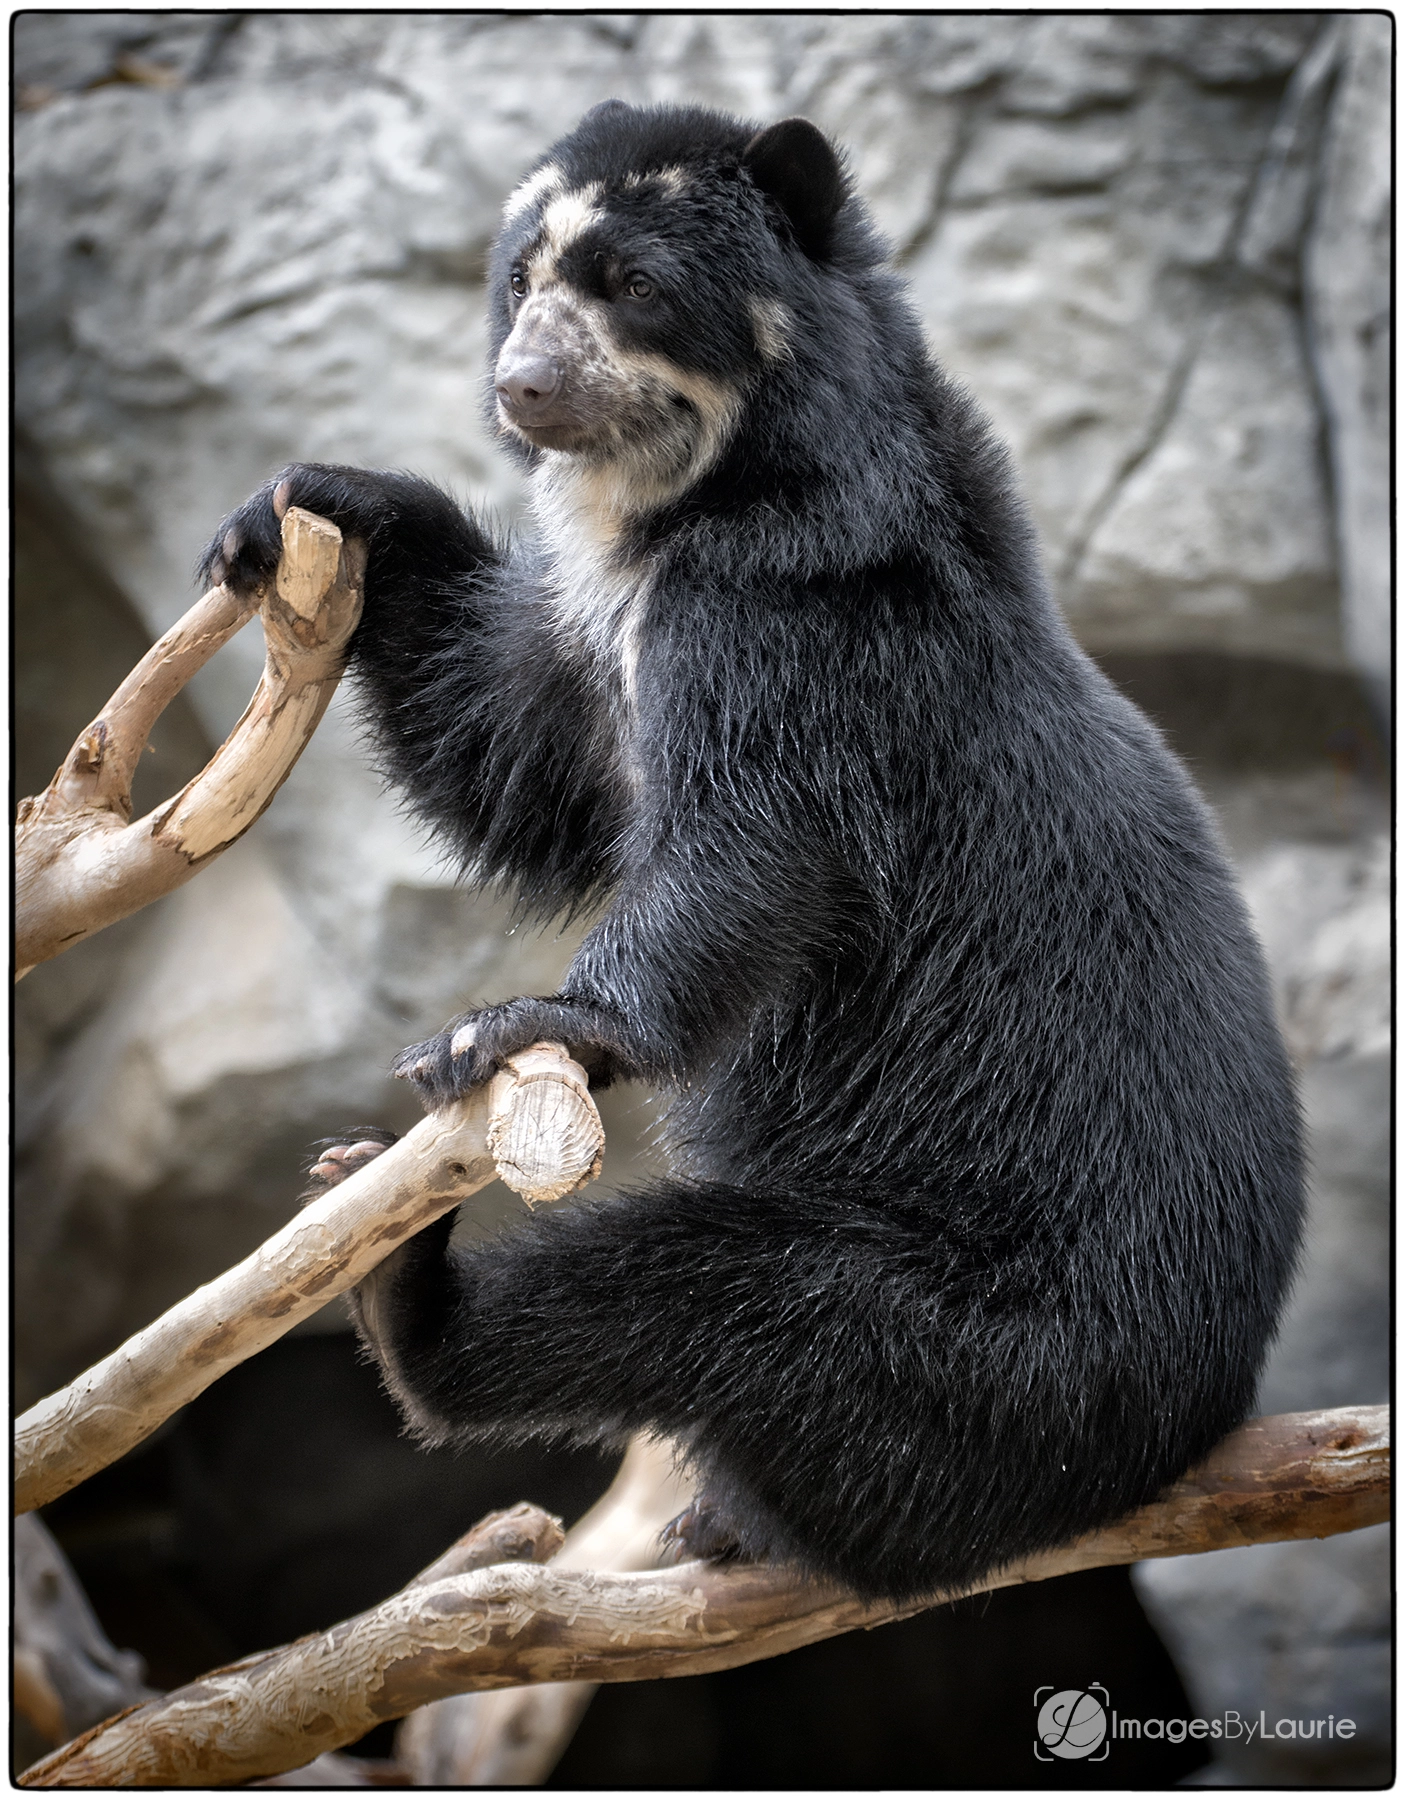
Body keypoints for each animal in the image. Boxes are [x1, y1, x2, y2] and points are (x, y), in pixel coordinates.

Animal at [203, 100, 1303, 1602]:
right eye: (518, 281)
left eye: (629, 282)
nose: (521, 387)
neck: (710, 503)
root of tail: (1185, 1433)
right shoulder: (613, 658)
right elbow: (515, 750)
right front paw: (309, 506)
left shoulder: (790, 638)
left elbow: (745, 855)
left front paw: (511, 1026)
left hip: (991, 1360)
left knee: (723, 1295)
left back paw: (412, 1304)